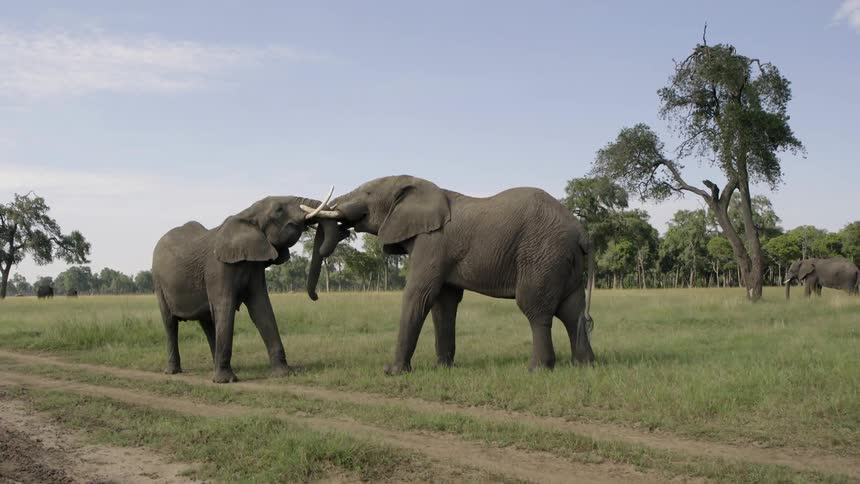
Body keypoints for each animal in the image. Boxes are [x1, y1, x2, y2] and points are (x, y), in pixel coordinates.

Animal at [152, 190, 348, 383]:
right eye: (279, 210)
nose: (316, 296)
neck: (246, 215)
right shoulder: (218, 267)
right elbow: (225, 308)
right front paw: (225, 381)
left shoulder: (254, 266)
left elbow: (261, 308)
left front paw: (284, 374)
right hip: (158, 282)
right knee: (170, 323)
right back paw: (173, 371)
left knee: (206, 320)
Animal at [303, 175, 596, 374]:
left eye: (368, 192)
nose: (342, 229)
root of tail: (582, 233)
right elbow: (444, 302)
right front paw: (443, 367)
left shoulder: (433, 242)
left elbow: (419, 295)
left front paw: (393, 372)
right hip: (562, 260)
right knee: (572, 310)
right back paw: (584, 365)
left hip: (542, 254)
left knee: (536, 309)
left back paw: (537, 369)